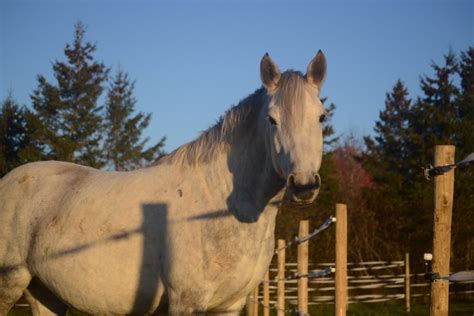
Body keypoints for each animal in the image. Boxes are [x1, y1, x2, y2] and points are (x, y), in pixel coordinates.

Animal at [0, 51, 326, 314]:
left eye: (321, 117)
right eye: (272, 120)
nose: (304, 185)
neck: (219, 206)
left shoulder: (229, 306)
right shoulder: (185, 302)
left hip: (43, 292)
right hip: (9, 282)